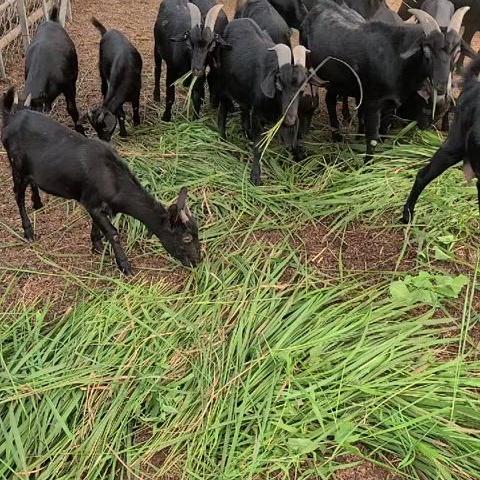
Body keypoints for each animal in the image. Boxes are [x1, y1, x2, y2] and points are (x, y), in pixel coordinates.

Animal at [1, 86, 201, 274]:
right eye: (186, 238)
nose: (197, 262)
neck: (112, 178)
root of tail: (11, 118)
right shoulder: (91, 201)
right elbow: (112, 233)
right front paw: (124, 266)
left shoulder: (97, 206)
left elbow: (98, 226)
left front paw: (97, 245)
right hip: (16, 164)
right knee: (18, 195)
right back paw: (28, 231)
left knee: (32, 182)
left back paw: (38, 203)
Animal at [218, 17, 316, 186]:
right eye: (279, 85)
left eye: (303, 88)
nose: (289, 119)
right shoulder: (258, 115)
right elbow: (258, 146)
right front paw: (255, 176)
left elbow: (293, 141)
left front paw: (303, 159)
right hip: (224, 85)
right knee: (223, 110)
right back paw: (223, 139)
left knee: (244, 110)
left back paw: (247, 133)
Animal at [304, 0, 468, 163]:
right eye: (426, 51)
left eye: (457, 52)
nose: (441, 85)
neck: (397, 60)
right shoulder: (372, 104)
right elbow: (372, 139)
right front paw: (367, 166)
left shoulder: (391, 104)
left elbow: (384, 132)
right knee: (328, 101)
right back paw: (336, 136)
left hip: (336, 80)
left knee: (330, 98)